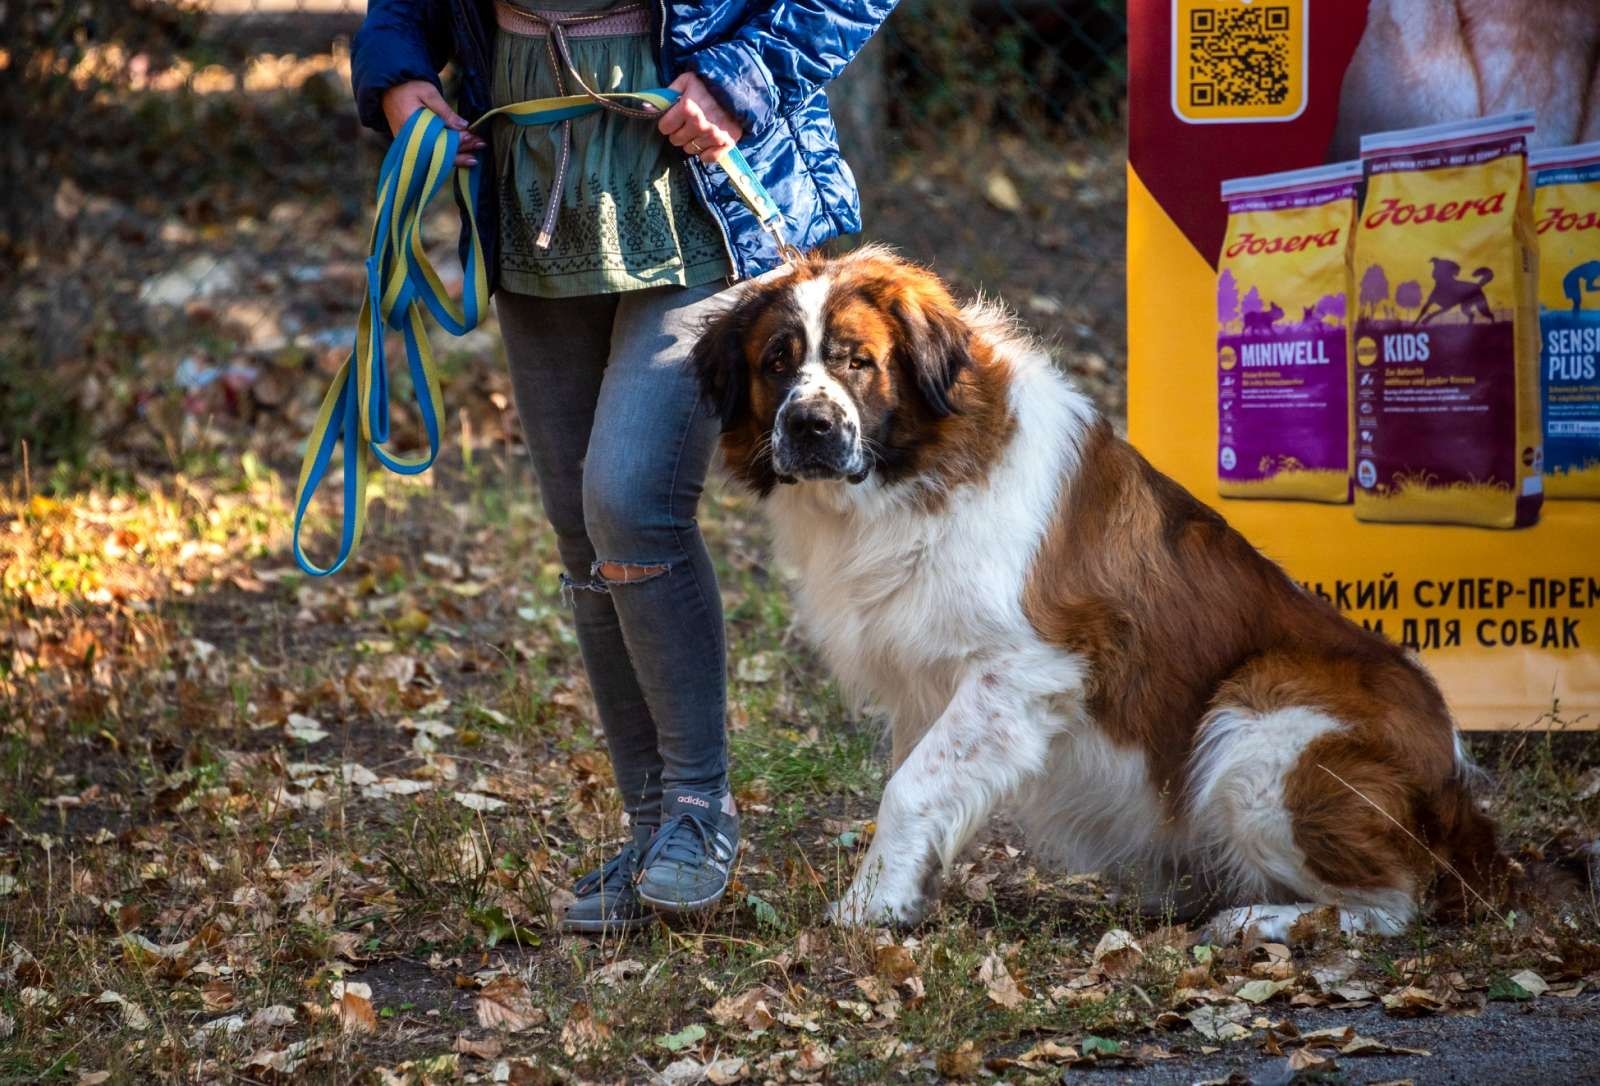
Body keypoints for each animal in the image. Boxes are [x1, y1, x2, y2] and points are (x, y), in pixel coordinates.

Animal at [691, 247, 1510, 940]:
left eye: (858, 361)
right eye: (776, 361)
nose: (809, 424)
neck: (918, 474)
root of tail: (1459, 788)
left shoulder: (1024, 668)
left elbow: (910, 788)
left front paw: (866, 909)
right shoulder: (928, 678)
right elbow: (917, 778)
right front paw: (901, 894)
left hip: (1257, 726)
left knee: (1393, 904)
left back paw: (1257, 922)